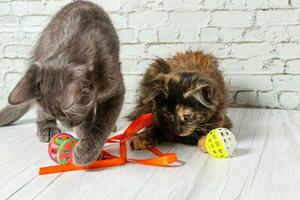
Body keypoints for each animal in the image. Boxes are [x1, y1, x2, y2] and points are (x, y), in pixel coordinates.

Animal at [0, 0, 124, 165]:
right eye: (58, 116)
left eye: (66, 115)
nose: (69, 126)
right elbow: (87, 124)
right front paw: (88, 149)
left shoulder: (115, 89)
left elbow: (103, 122)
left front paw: (88, 148)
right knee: (40, 112)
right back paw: (47, 128)